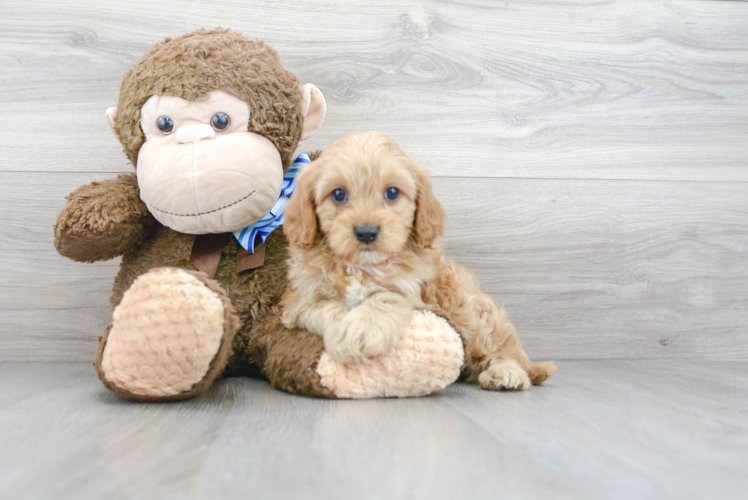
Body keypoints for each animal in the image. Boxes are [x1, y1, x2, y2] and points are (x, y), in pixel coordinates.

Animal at [284, 133, 560, 390]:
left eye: (392, 193)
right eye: (338, 194)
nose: (366, 232)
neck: (363, 267)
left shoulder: (418, 296)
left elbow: (387, 297)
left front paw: (363, 330)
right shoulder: (299, 303)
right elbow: (326, 306)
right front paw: (345, 329)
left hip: (473, 311)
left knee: (498, 348)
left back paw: (506, 372)